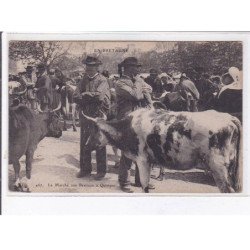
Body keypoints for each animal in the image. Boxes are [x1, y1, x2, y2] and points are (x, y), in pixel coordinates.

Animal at [82, 108, 242, 193]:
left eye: (94, 129)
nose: (86, 145)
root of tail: (229, 118)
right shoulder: (148, 160)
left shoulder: (142, 159)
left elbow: (145, 185)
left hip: (218, 168)